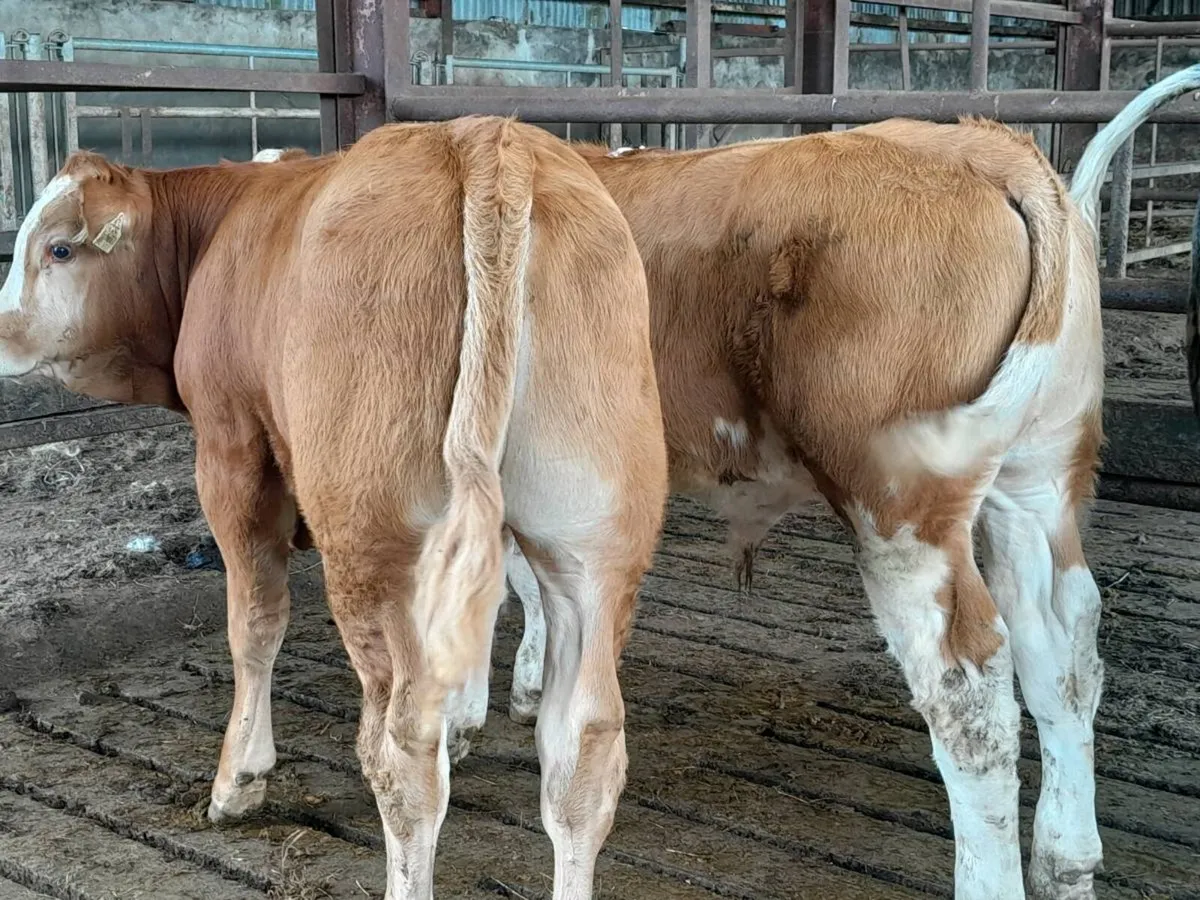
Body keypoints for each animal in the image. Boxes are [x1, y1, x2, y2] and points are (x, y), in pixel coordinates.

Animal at [0, 116, 669, 900]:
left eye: (58, 247)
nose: (0, 333)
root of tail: (484, 141)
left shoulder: (231, 445)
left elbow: (254, 622)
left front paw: (238, 778)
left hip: (372, 540)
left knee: (403, 748)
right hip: (594, 541)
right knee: (583, 746)